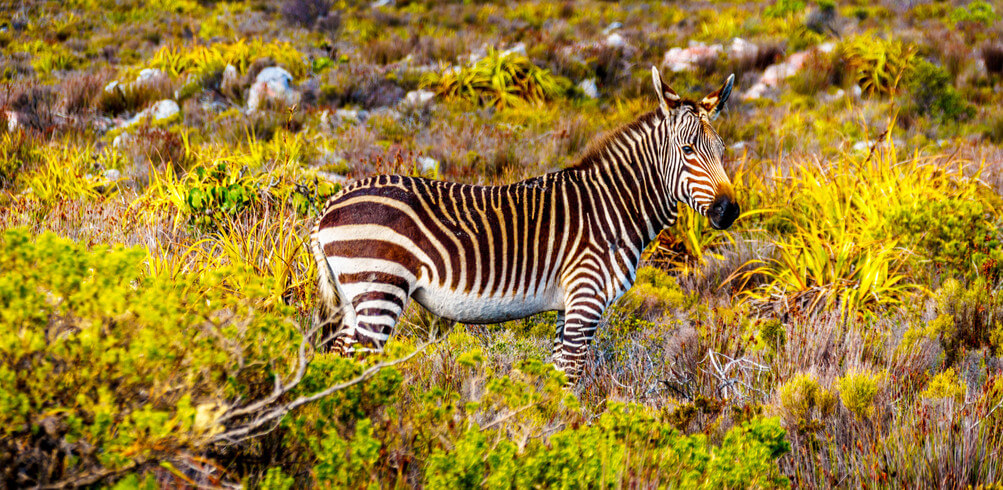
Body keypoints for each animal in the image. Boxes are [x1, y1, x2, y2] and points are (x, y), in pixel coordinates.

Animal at [310, 66, 738, 384]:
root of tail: (329, 205)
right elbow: (568, 384)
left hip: (352, 300)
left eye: (721, 151)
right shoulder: (586, 298)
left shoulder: (568, 306)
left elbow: (555, 379)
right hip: (378, 290)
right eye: (687, 151)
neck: (612, 206)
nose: (729, 211)